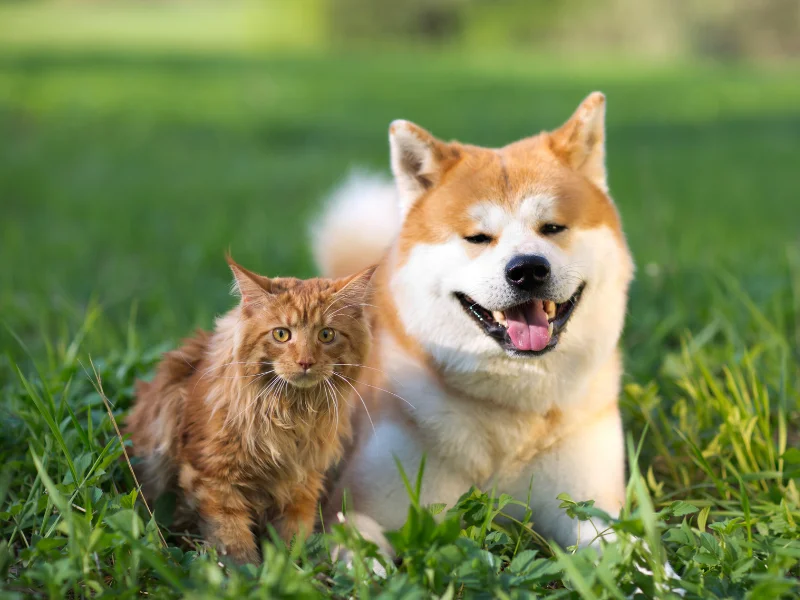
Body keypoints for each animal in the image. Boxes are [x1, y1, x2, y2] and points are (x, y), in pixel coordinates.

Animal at [126, 255, 376, 564]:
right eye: (281, 334)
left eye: (326, 335)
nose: (305, 362)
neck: (289, 412)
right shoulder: (213, 477)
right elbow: (232, 540)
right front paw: (246, 569)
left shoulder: (303, 486)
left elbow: (291, 540)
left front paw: (287, 568)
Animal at [310, 92, 632, 548]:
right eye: (478, 237)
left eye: (552, 227)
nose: (527, 269)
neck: (511, 408)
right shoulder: (351, 510)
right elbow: (362, 547)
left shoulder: (595, 507)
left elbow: (637, 550)